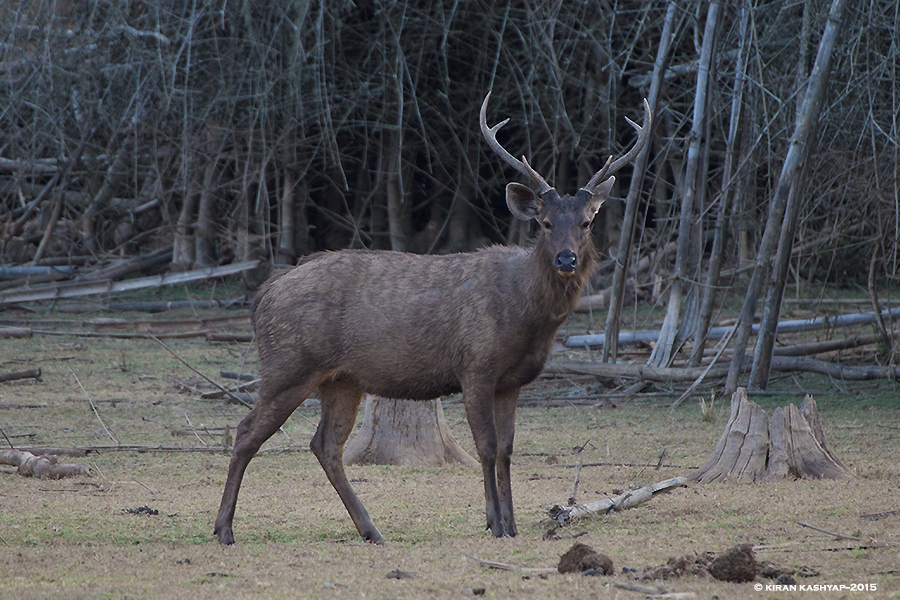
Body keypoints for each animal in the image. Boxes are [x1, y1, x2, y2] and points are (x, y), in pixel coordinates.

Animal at [214, 92, 652, 544]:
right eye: (545, 223)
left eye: (587, 222)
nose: (566, 259)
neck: (526, 315)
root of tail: (264, 294)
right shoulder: (475, 366)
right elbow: (487, 447)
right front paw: (495, 523)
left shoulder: (512, 381)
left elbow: (508, 449)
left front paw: (512, 525)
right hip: (289, 363)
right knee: (246, 432)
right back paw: (225, 529)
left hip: (341, 379)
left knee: (325, 444)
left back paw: (371, 529)